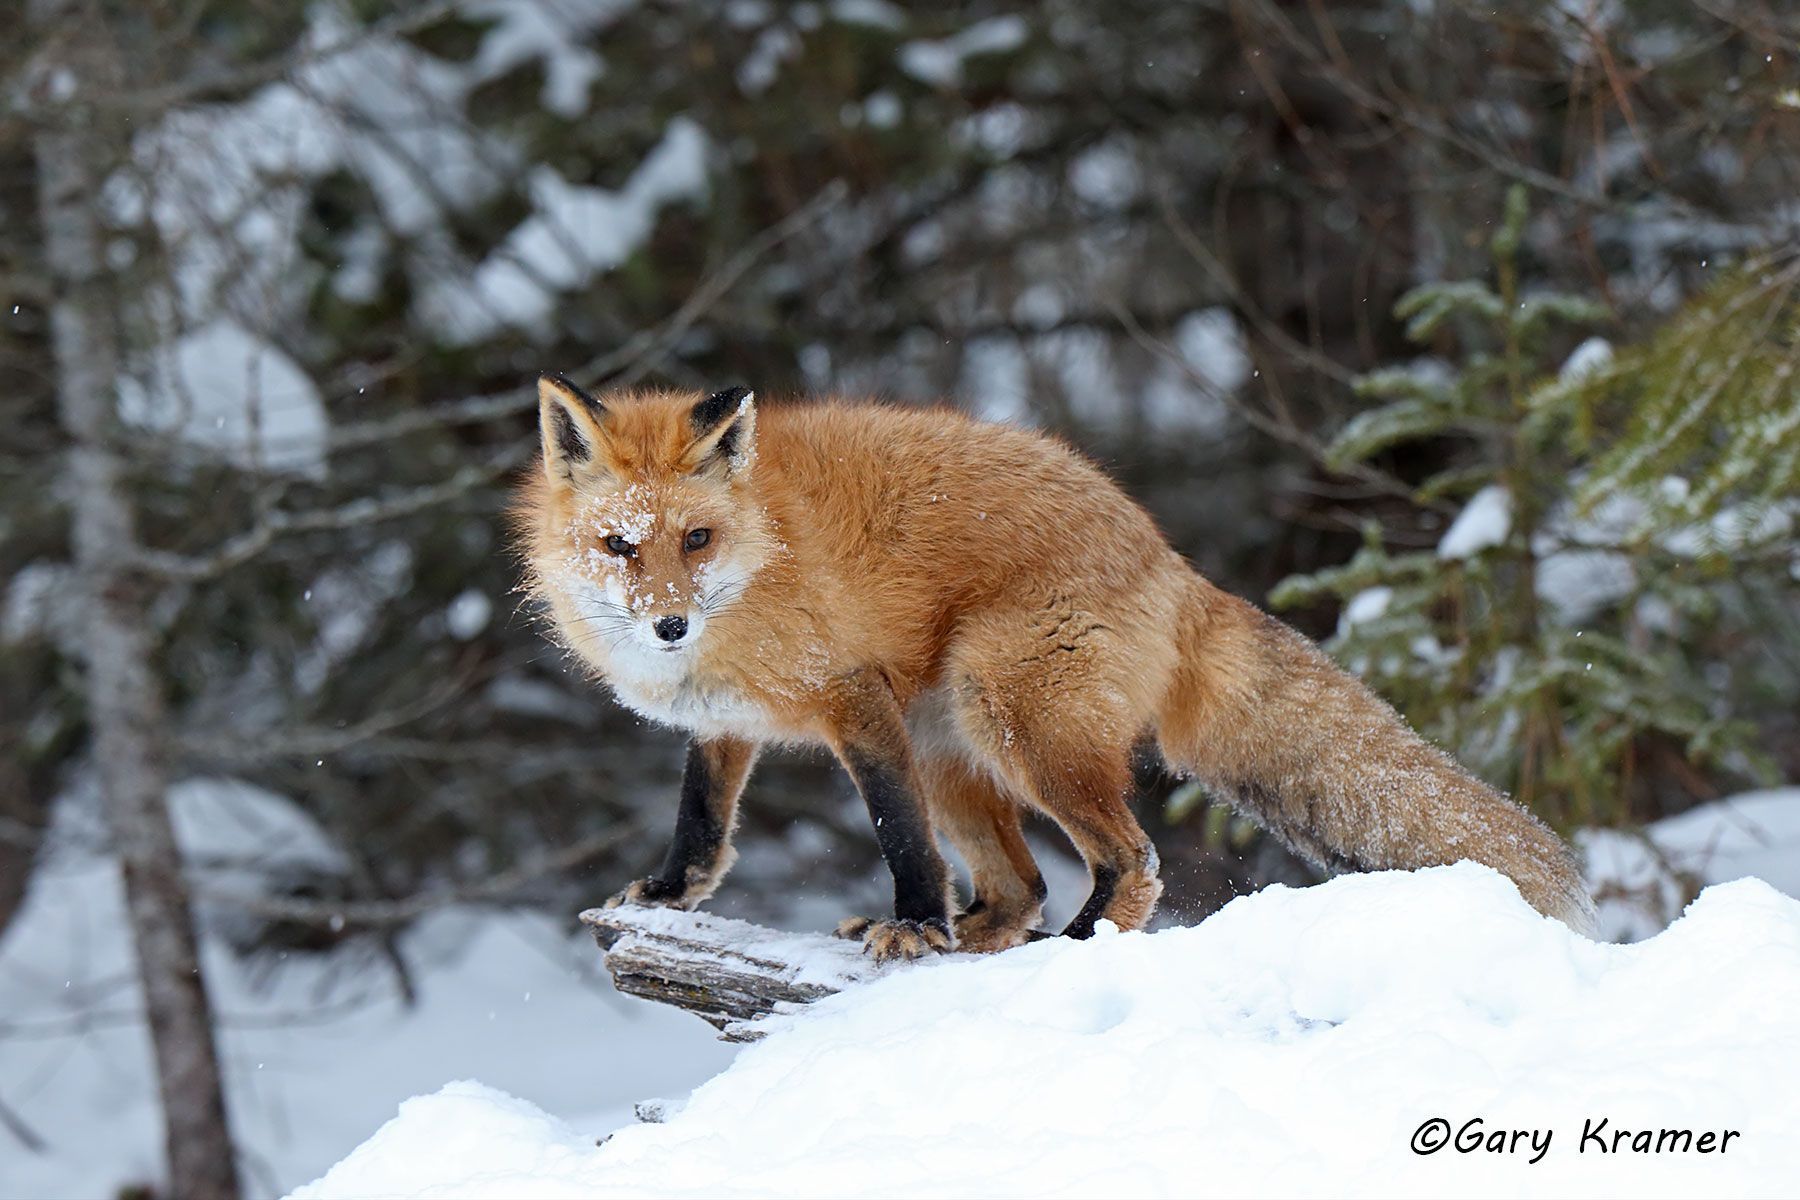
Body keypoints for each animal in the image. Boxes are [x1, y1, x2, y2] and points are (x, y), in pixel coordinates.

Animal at [515, 375, 1595, 961]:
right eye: (620, 546)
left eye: (695, 539)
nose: (667, 625)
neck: (759, 562)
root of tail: (1169, 557)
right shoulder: (726, 722)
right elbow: (702, 820)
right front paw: (667, 896)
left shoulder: (852, 697)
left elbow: (896, 834)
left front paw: (916, 923)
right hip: (956, 747)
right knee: (1025, 885)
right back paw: (990, 938)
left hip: (1014, 725)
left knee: (1134, 859)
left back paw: (1064, 952)